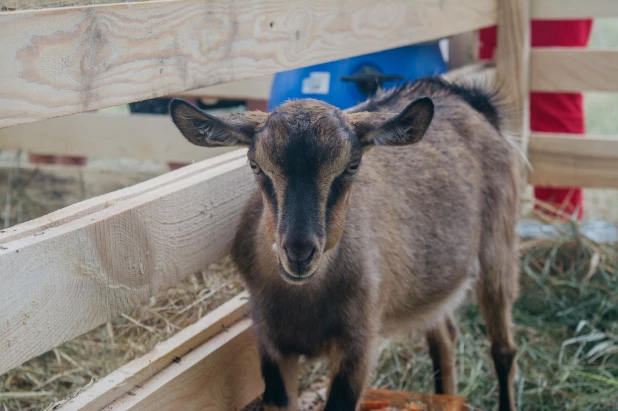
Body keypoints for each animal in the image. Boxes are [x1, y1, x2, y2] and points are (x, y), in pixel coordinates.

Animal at [170, 78, 520, 411]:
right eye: (256, 167)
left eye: (351, 167)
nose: (299, 253)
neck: (304, 296)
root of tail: (468, 98)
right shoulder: (270, 342)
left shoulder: (359, 342)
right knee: (444, 335)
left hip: (498, 244)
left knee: (503, 349)